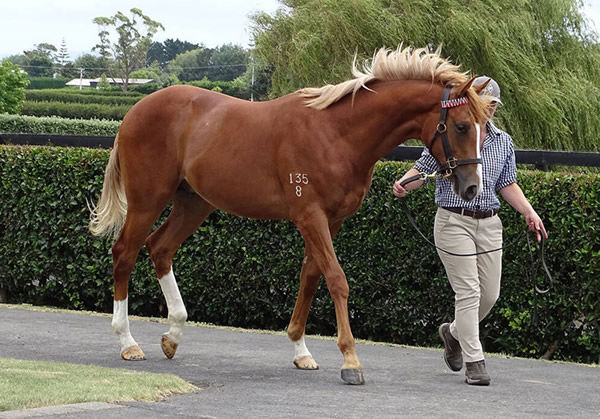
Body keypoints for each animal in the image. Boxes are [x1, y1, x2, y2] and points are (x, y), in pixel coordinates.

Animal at [91, 46, 490, 388]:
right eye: (460, 126)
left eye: (483, 127)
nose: (472, 188)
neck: (337, 134)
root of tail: (135, 111)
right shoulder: (310, 216)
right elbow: (336, 279)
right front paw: (350, 361)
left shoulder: (332, 220)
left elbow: (310, 276)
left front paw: (301, 350)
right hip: (147, 201)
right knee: (125, 253)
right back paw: (128, 342)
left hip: (194, 203)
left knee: (160, 248)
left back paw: (173, 335)